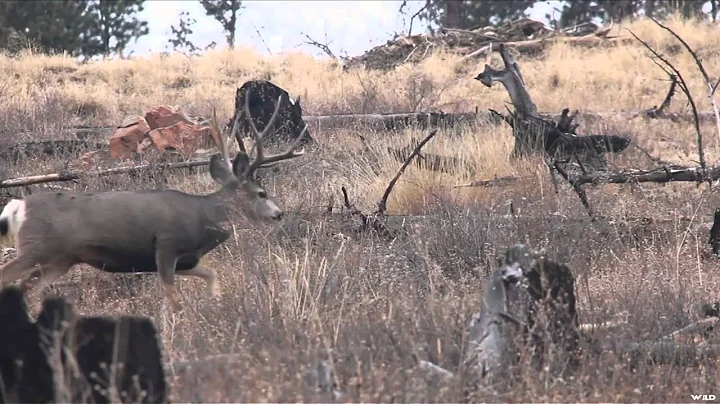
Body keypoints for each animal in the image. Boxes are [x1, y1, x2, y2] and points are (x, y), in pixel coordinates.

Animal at [0, 90, 308, 313]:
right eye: (261, 193)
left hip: (60, 259)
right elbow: (173, 300)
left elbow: (211, 275)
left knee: (28, 289)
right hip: (38, 248)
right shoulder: (166, 246)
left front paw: (217, 303)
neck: (201, 217)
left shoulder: (187, 260)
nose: (278, 214)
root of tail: (18, 207)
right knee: (8, 278)